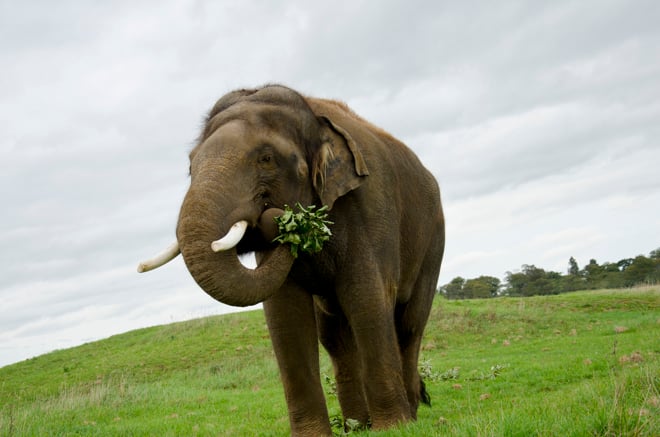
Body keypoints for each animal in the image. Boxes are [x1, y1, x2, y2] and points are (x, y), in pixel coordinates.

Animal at [138, 83, 444, 434]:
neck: (312, 114)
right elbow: (285, 315)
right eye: (190, 167)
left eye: (266, 158)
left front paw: (394, 428)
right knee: (335, 335)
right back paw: (356, 426)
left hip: (433, 241)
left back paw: (407, 415)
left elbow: (365, 298)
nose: (275, 218)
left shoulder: (370, 207)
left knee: (408, 324)